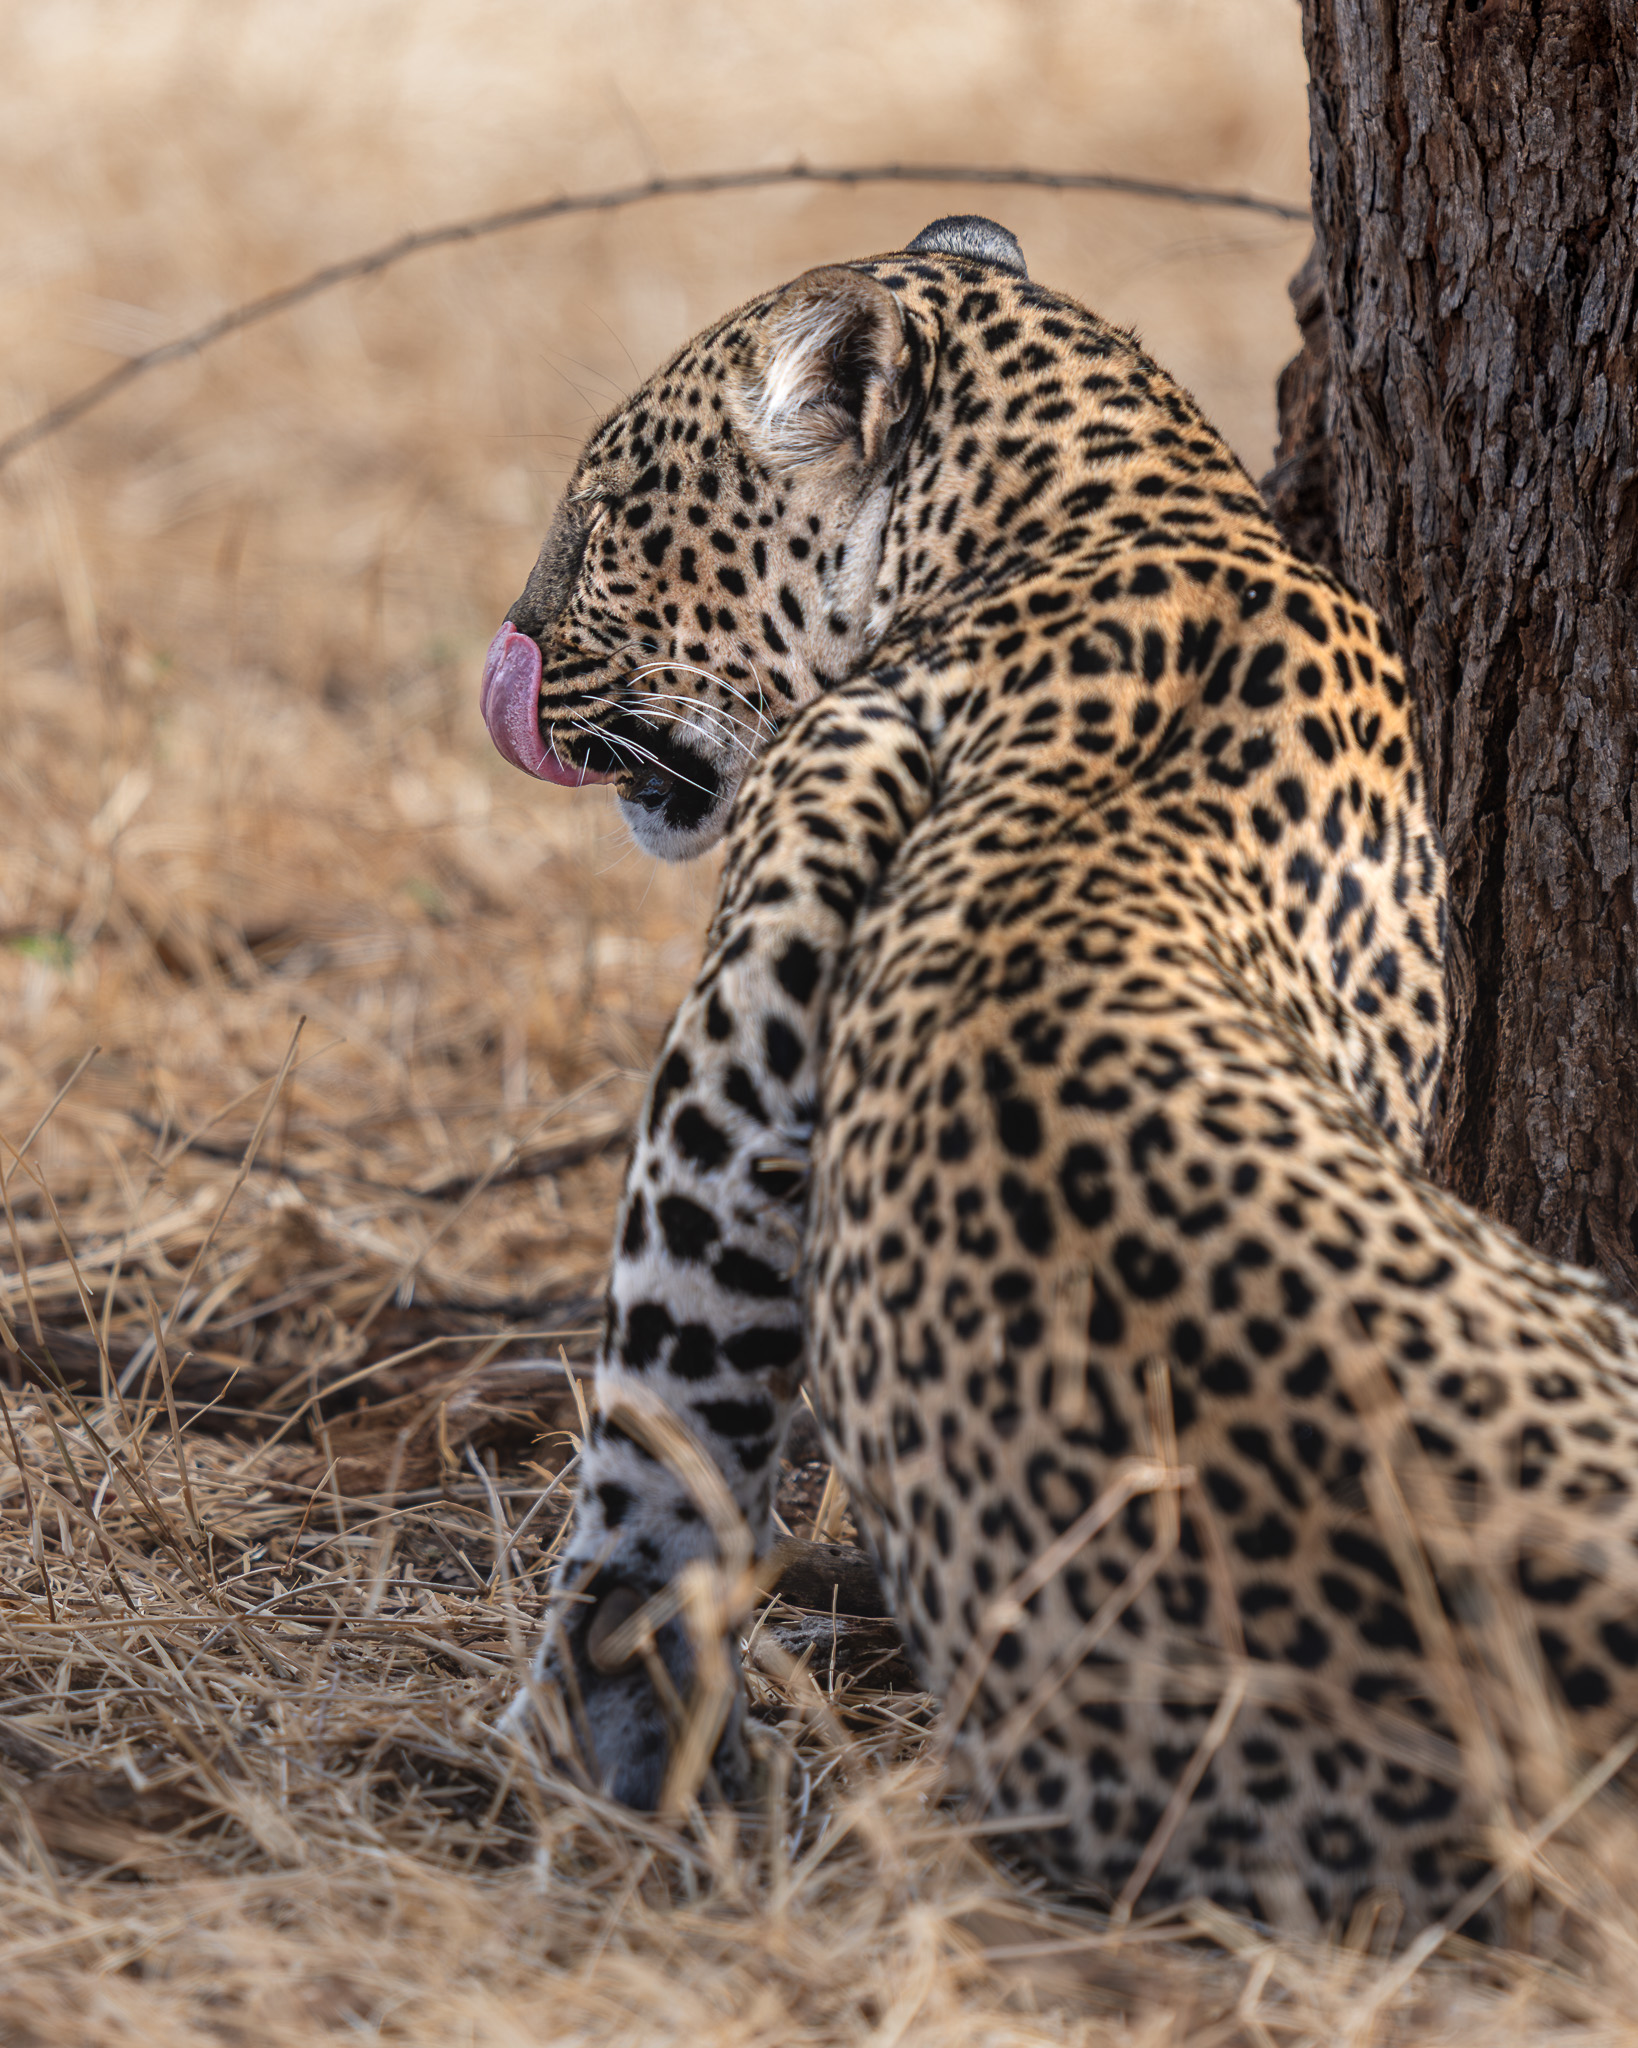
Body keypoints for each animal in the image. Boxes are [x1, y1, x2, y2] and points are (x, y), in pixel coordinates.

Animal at [481, 215, 1638, 1939]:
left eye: (614, 514)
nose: (517, 653)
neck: (1111, 501)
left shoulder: (794, 889)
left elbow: (665, 1409)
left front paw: (622, 1744)